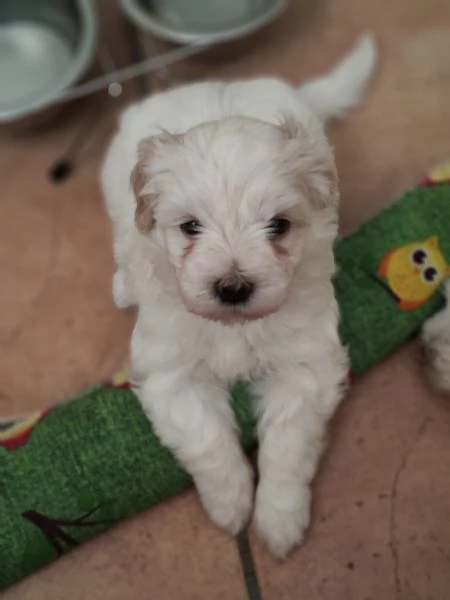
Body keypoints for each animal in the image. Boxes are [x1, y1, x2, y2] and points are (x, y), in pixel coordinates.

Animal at [101, 34, 376, 556]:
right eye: (190, 227)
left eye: (278, 226)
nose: (232, 288)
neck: (232, 327)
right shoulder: (171, 373)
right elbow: (207, 440)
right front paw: (230, 505)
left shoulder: (304, 365)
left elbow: (287, 443)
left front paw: (278, 518)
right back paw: (123, 285)